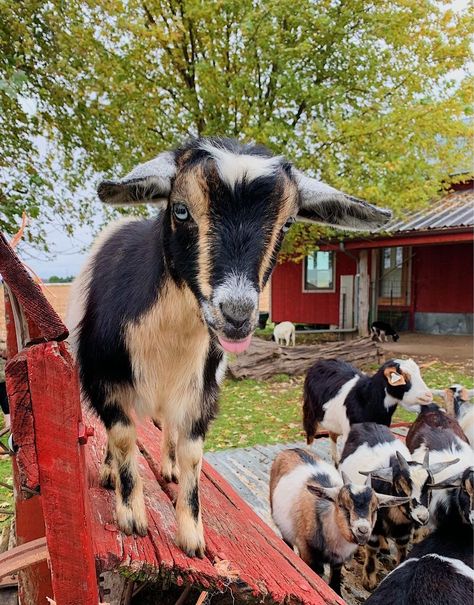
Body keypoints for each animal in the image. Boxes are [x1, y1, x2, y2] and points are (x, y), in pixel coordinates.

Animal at [67, 137, 392, 556]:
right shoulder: (104, 379)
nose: (236, 315)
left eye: (287, 223)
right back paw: (109, 471)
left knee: (168, 428)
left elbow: (193, 454)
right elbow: (123, 437)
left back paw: (168, 466)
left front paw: (192, 537)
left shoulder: (201, 391)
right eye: (181, 210)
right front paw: (131, 517)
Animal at [270, 448, 408, 596]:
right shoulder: (307, 552)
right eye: (342, 505)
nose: (363, 530)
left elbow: (335, 581)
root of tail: (292, 449)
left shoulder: (338, 561)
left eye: (376, 509)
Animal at [304, 356, 434, 460]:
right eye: (404, 377)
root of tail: (322, 361)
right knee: (310, 437)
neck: (367, 400)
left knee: (333, 440)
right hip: (309, 411)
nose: (428, 395)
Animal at [338, 422, 454, 588]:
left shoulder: (404, 532)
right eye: (400, 486)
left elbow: (402, 551)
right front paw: (369, 580)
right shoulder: (374, 528)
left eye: (430, 486)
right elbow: (372, 549)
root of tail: (368, 423)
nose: (422, 517)